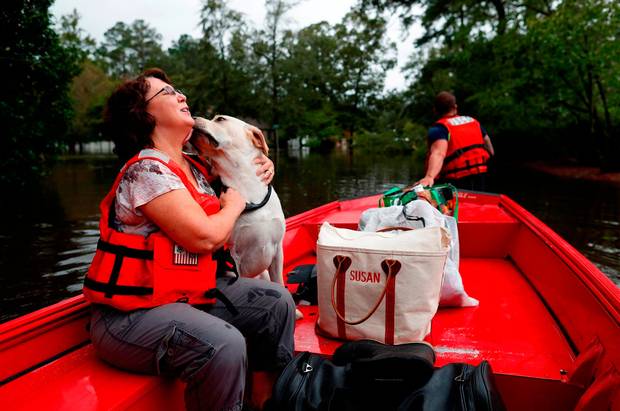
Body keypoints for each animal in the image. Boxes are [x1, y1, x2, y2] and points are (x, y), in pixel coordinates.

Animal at [190, 114, 286, 290]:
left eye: (220, 119)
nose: (193, 116)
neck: (247, 185)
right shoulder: (233, 259)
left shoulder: (277, 251)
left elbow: (280, 283)